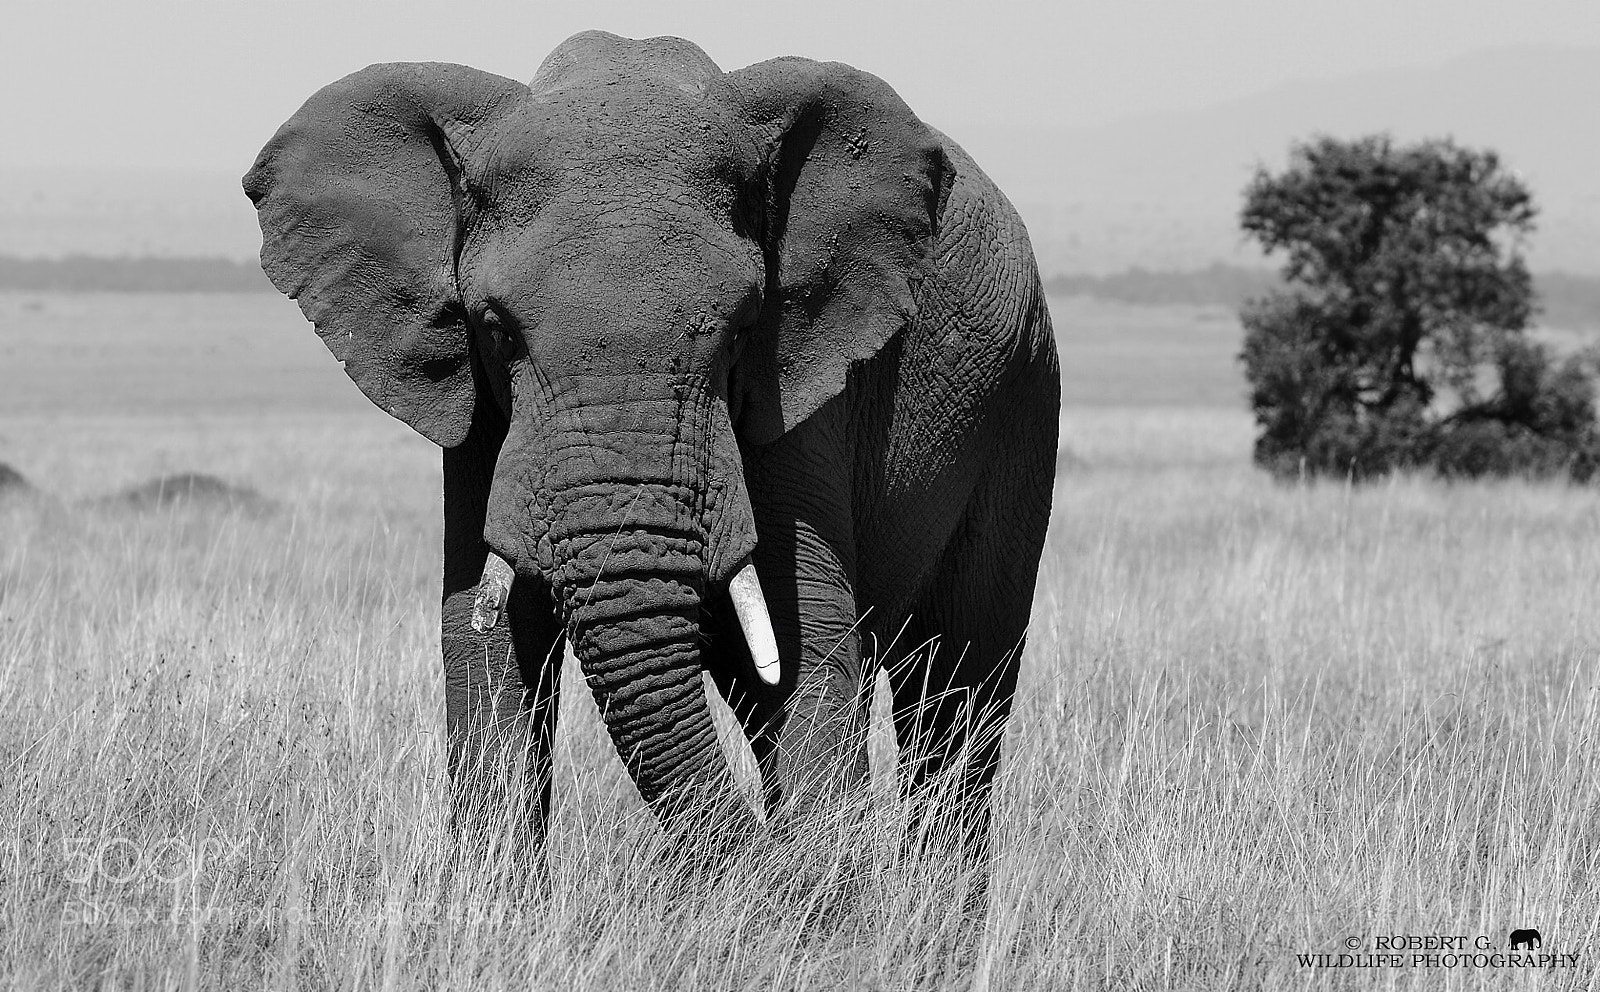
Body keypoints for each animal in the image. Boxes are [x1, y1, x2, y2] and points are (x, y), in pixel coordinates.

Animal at [244, 31, 1058, 866]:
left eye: (741, 329)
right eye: (498, 331)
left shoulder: (800, 390)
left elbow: (804, 627)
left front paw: (819, 886)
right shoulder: (479, 416)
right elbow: (487, 636)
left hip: (1023, 396)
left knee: (957, 691)